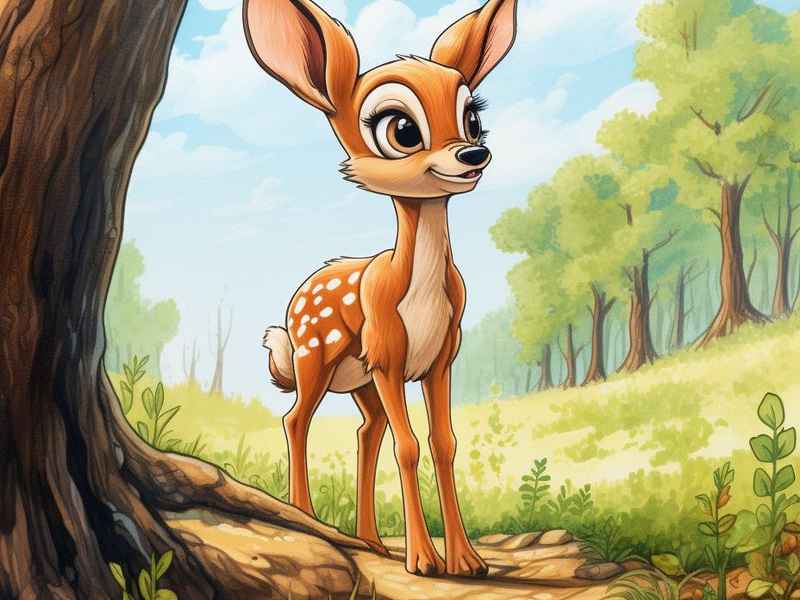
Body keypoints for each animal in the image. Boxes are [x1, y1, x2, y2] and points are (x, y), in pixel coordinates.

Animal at [245, 0, 518, 577]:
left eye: (473, 118)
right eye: (401, 130)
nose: (473, 154)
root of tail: (299, 294)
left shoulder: (440, 358)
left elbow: (443, 442)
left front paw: (466, 560)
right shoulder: (391, 355)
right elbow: (409, 445)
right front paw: (424, 561)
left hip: (359, 378)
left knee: (366, 431)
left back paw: (369, 541)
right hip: (316, 356)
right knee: (296, 419)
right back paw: (308, 519)